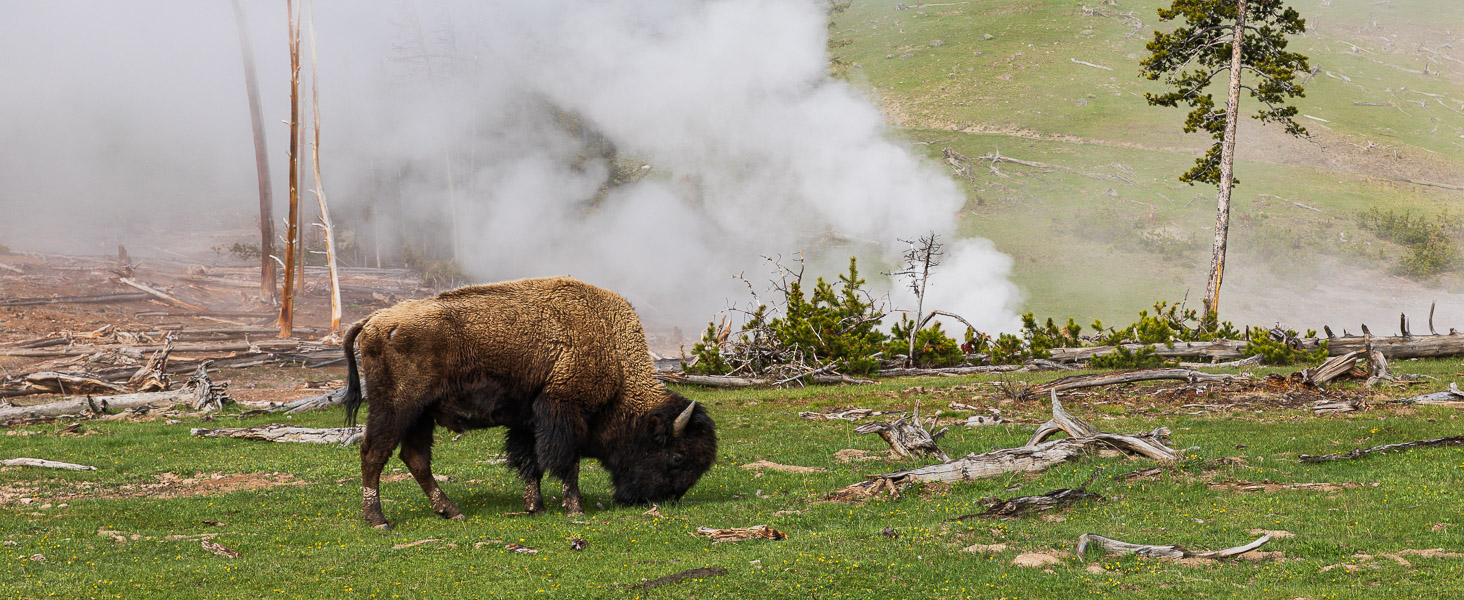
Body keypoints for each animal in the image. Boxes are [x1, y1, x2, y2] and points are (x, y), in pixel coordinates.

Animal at [338, 273, 714, 526]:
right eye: (677, 457)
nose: (662, 501)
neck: (609, 347)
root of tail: (372, 320)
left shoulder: (527, 419)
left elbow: (530, 461)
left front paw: (535, 507)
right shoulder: (564, 411)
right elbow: (566, 461)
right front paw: (574, 509)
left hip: (420, 416)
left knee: (415, 459)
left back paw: (451, 511)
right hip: (396, 409)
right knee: (374, 453)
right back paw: (378, 520)